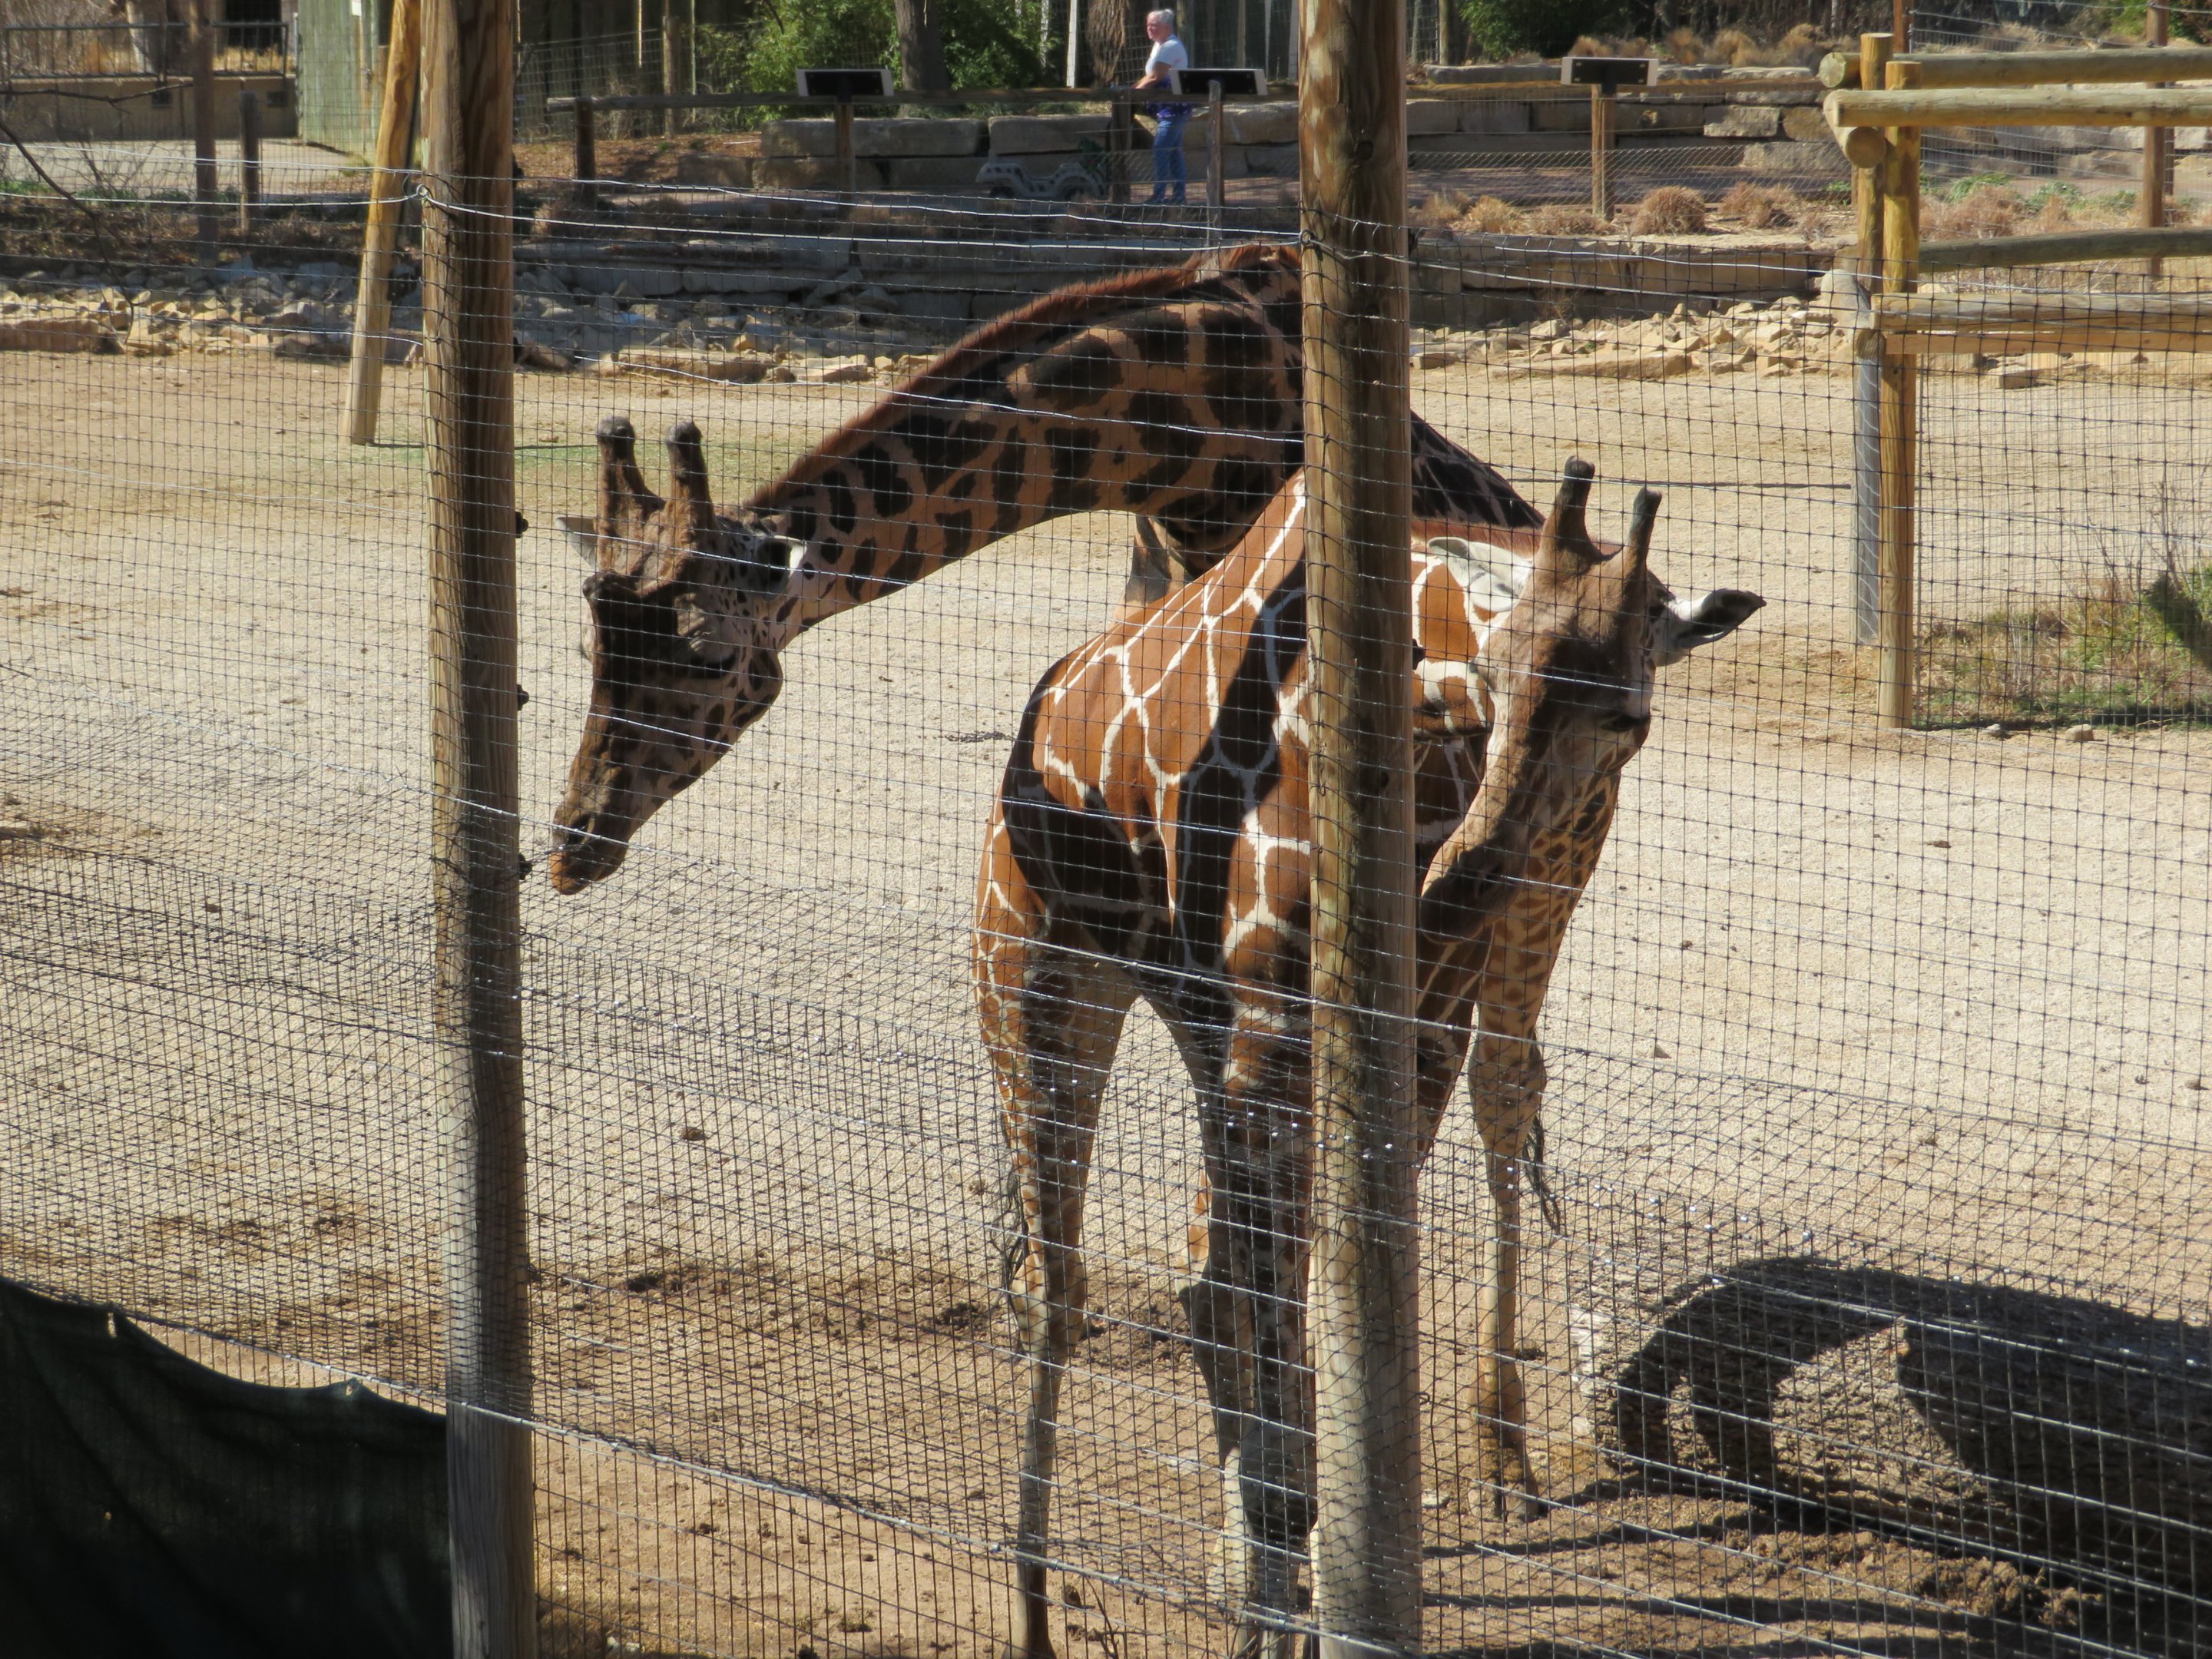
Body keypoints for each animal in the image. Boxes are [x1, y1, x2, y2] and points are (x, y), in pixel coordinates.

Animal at [974, 462, 1762, 1659]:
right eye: (1491, 672)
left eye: (1627, 717)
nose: (1469, 878)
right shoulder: (1271, 1023)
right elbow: (1283, 1301)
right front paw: (1277, 1589)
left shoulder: (1408, 1021)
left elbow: (1332, 1281)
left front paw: (1305, 1590)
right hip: (1029, 966)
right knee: (1055, 1291)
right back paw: (1038, 1609)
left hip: (1207, 1019)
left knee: (1206, 1274)